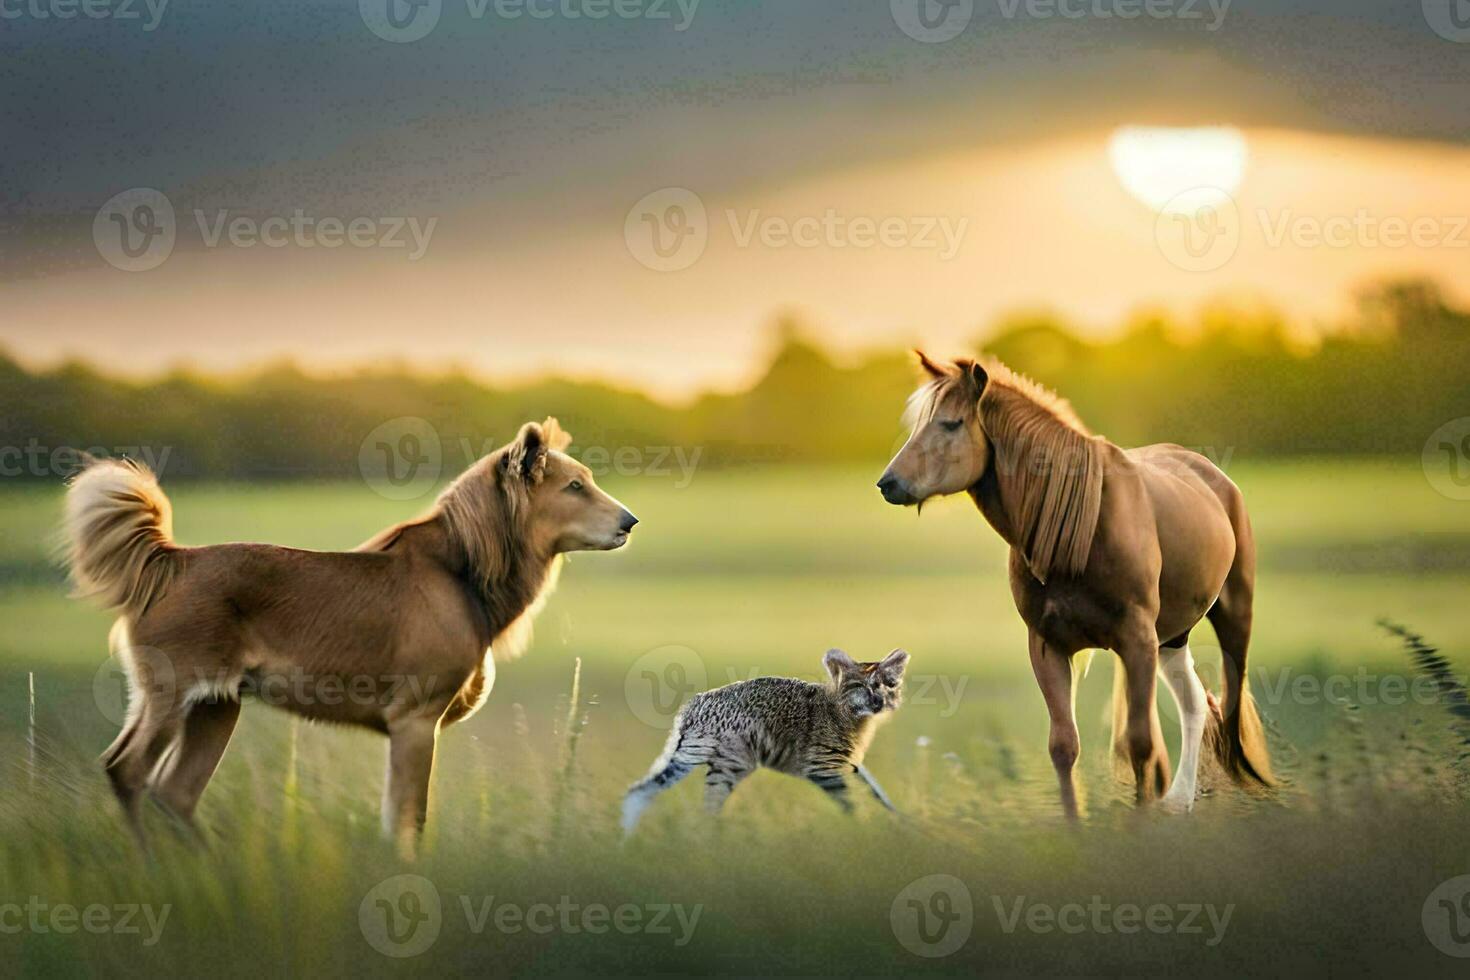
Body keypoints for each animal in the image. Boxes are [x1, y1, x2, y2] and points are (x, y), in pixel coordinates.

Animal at [66, 417, 635, 852]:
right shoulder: (416, 720)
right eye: (575, 486)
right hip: (171, 692)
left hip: (215, 705)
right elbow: (410, 820)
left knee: (175, 793)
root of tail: (169, 561)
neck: (464, 573)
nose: (630, 521)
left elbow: (396, 818)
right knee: (127, 771)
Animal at [876, 357, 1270, 816]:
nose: (889, 483)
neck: (1084, 522)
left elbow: (1140, 744)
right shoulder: (1049, 645)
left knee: (1227, 709)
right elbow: (1064, 746)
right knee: (1195, 704)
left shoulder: (1136, 640)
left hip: (1230, 619)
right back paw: (1178, 802)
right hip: (1172, 637)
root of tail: (1213, 476)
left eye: (951, 423)